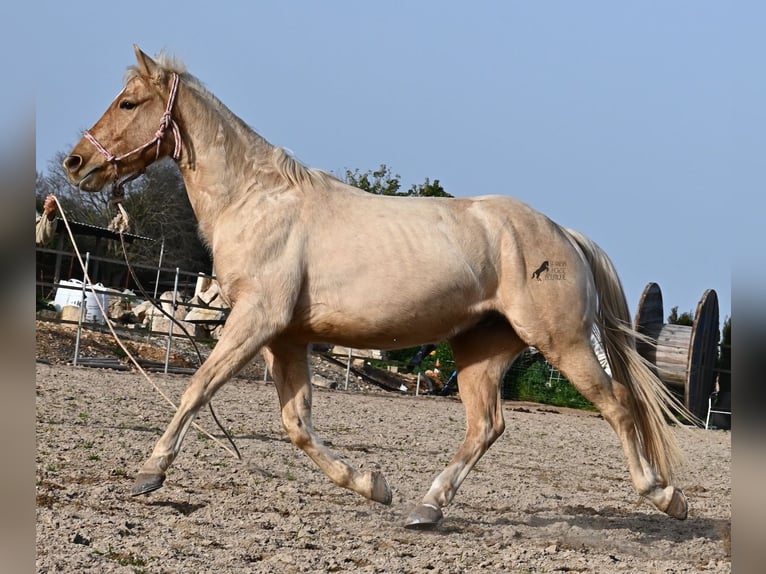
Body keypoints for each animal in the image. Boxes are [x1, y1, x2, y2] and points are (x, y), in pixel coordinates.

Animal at [62, 45, 689, 528]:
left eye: (129, 102)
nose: (77, 162)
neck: (257, 200)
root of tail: (564, 234)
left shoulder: (256, 321)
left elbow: (197, 388)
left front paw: (150, 473)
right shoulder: (287, 338)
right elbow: (296, 426)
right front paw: (372, 484)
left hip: (563, 341)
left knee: (618, 406)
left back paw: (666, 497)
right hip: (481, 350)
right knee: (487, 426)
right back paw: (426, 508)